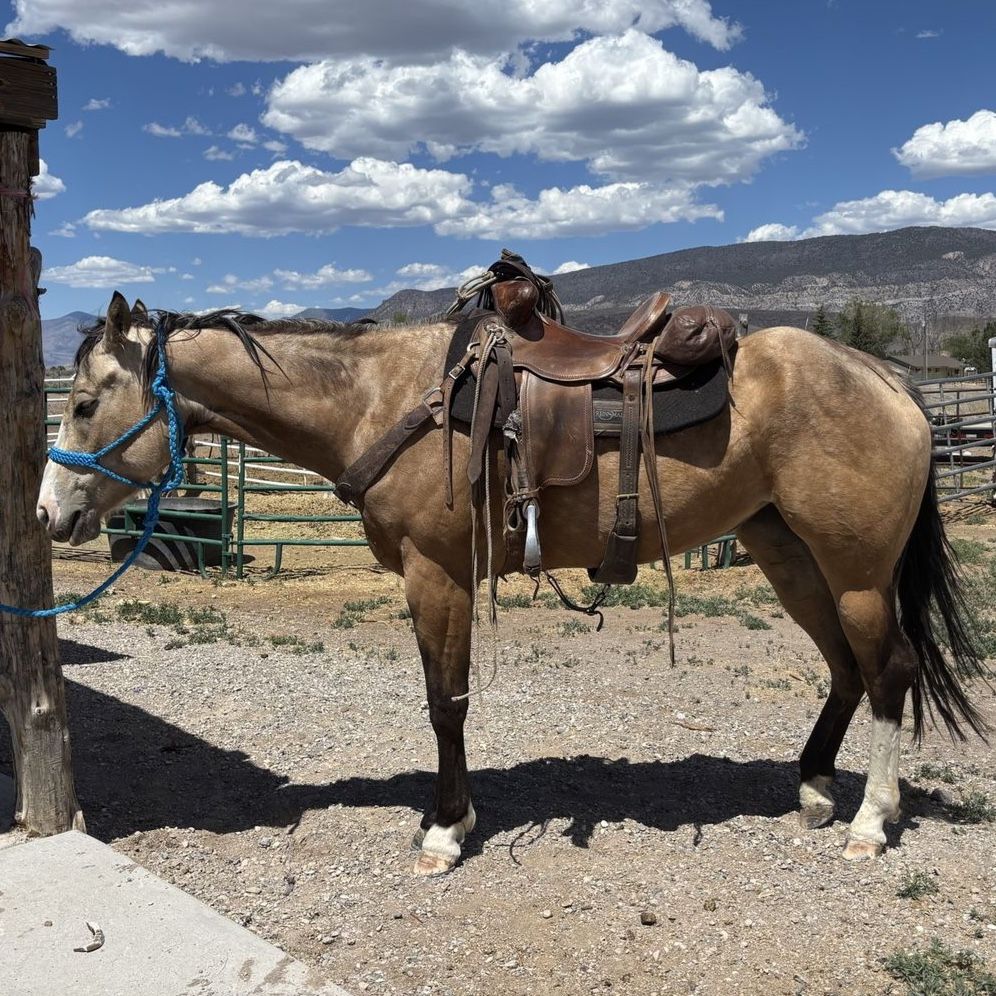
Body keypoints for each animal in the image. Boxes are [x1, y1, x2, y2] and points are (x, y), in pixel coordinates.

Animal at [37, 292, 988, 875]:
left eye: (82, 402)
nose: (48, 514)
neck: (381, 399)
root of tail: (887, 378)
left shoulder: (438, 575)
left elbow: (445, 703)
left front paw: (443, 831)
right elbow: (447, 700)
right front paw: (454, 820)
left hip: (856, 571)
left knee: (889, 673)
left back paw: (869, 822)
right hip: (788, 554)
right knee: (845, 671)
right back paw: (816, 790)